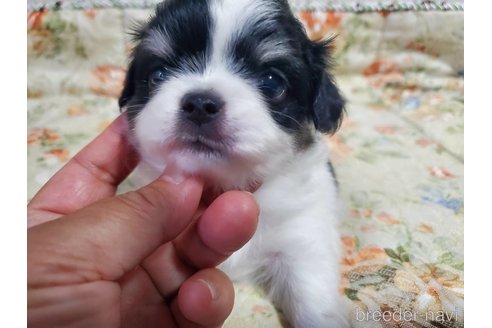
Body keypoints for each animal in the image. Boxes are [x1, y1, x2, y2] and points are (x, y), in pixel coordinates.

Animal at [119, 0, 348, 326]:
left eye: (272, 82)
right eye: (158, 75)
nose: (200, 104)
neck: (223, 186)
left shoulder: (303, 243)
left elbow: (314, 304)